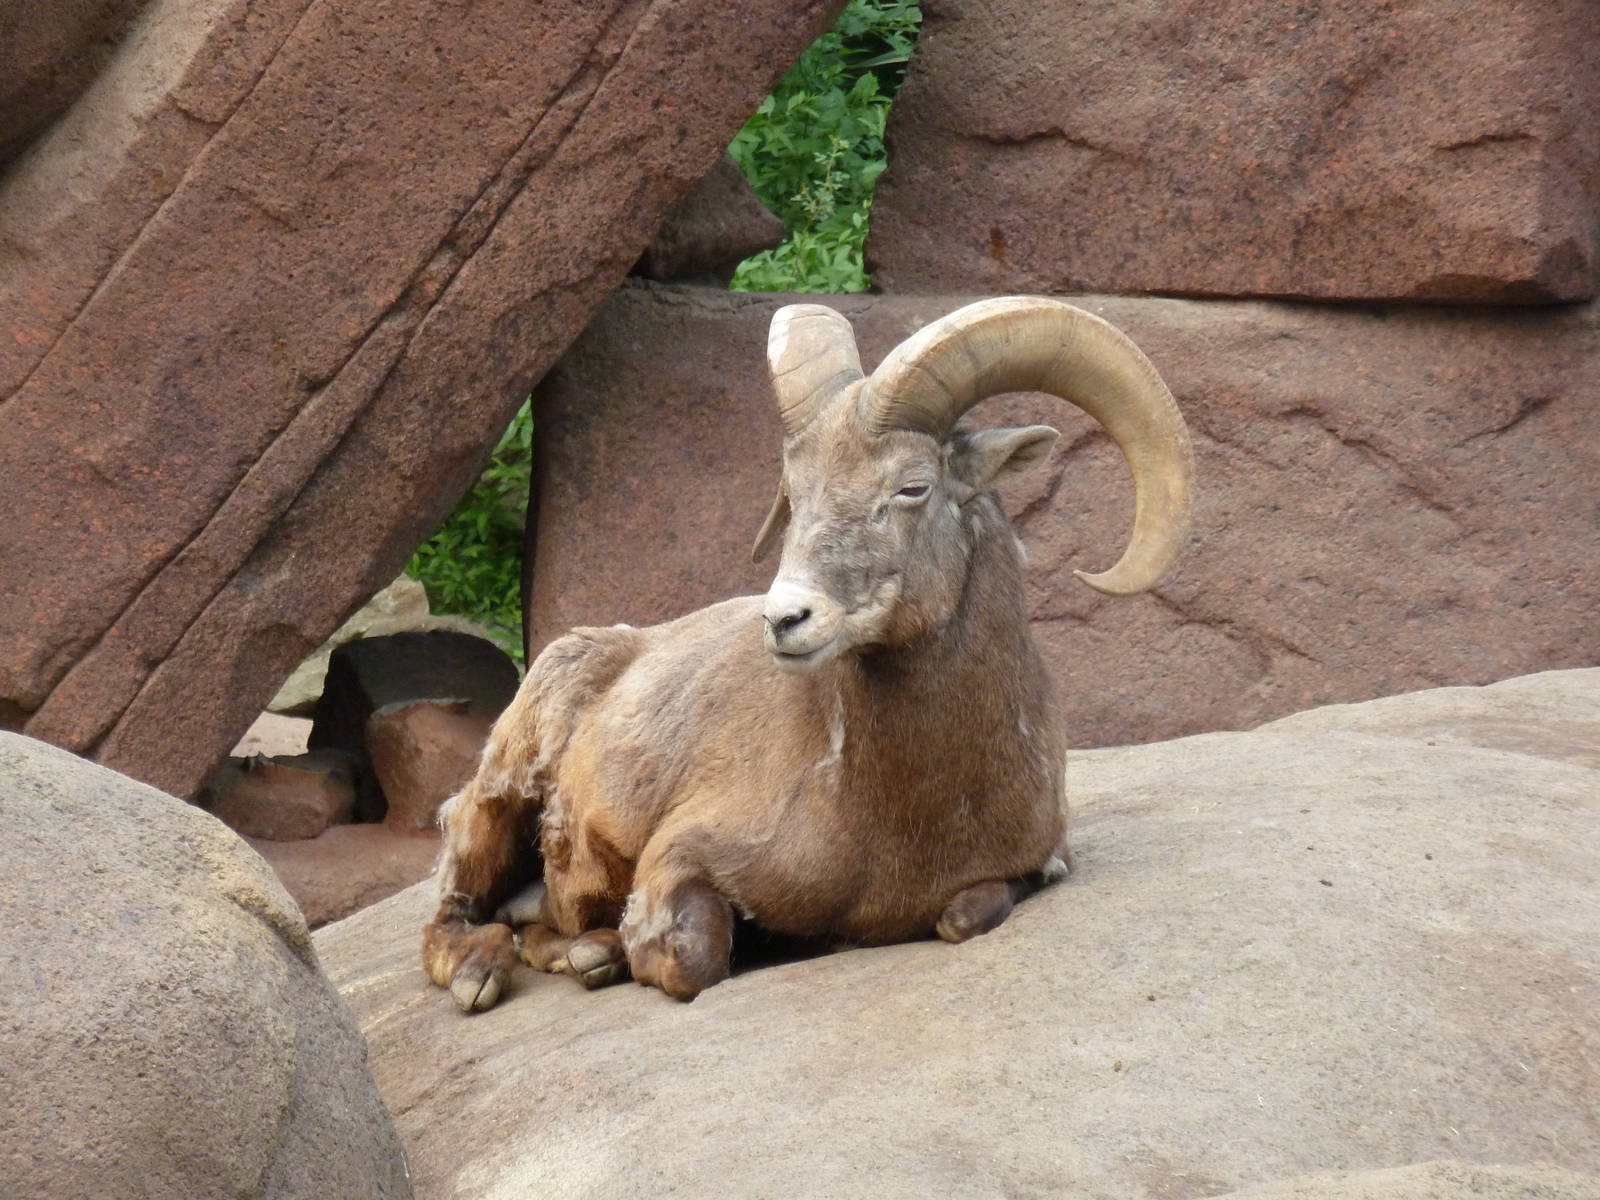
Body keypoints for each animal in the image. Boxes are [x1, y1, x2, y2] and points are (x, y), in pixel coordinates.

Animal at [422, 296, 1194, 1010]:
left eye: (913, 487)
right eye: (792, 493)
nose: (786, 618)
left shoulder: (1036, 864)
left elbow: (964, 915)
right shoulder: (680, 857)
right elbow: (691, 959)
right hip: (499, 799)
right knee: (456, 910)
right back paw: (493, 971)